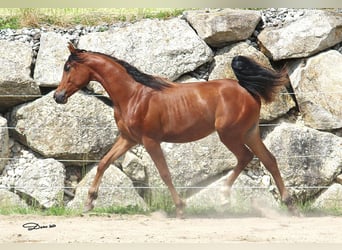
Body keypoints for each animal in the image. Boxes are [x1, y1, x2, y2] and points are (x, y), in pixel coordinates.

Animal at [54, 42, 294, 217]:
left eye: (67, 68)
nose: (58, 96)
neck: (133, 96)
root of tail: (247, 89)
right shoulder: (128, 139)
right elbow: (104, 163)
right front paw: (89, 203)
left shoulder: (150, 141)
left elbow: (165, 173)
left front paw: (180, 208)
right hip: (250, 133)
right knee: (269, 160)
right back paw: (289, 204)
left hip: (230, 135)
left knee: (246, 157)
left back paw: (225, 198)